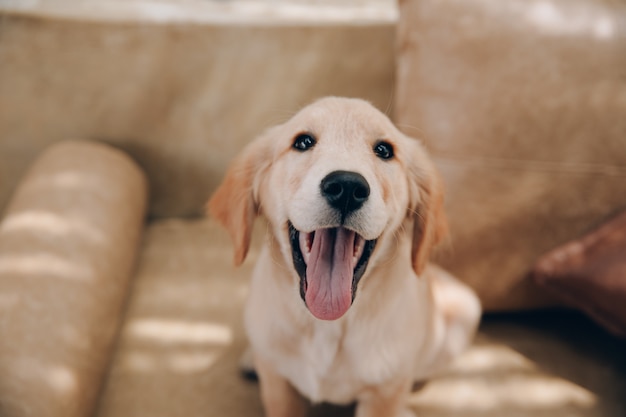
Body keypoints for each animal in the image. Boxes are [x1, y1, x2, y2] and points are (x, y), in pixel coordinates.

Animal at [208, 96, 478, 416]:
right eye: (303, 142)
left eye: (384, 150)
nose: (347, 187)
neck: (327, 324)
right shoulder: (279, 388)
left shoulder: (383, 394)